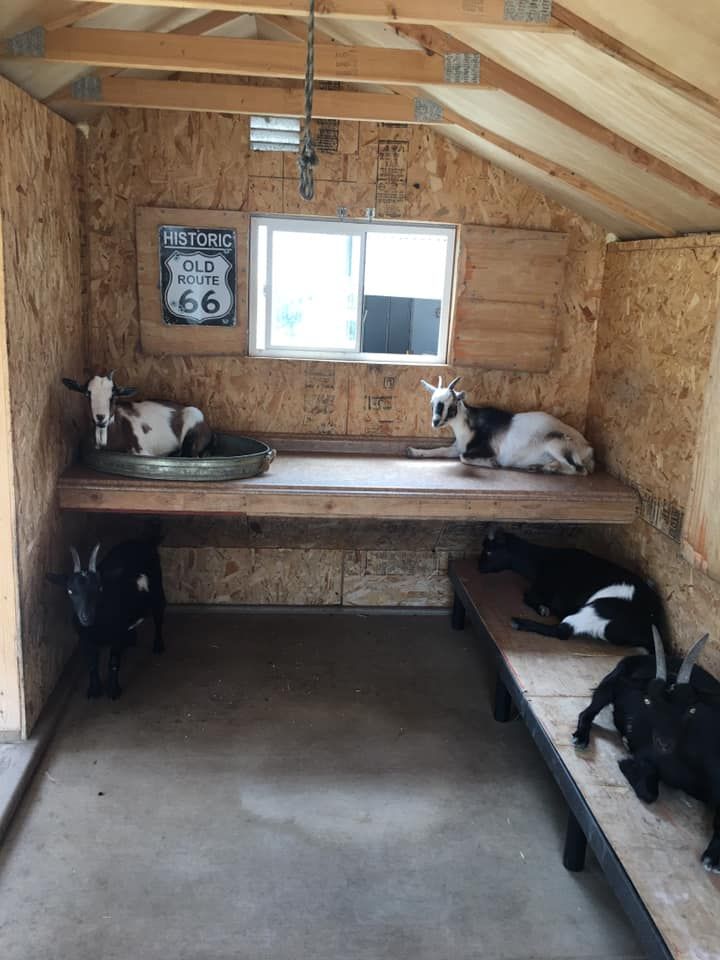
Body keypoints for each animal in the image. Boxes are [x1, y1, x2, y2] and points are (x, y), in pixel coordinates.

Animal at [47, 536, 167, 700]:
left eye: (99, 588)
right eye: (70, 591)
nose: (86, 617)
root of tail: (141, 541)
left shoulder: (116, 634)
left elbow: (113, 662)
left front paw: (113, 690)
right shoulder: (85, 638)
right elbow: (92, 663)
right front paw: (94, 690)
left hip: (157, 590)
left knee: (159, 614)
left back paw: (158, 645)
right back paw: (130, 640)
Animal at [408, 378, 592, 476]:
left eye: (451, 404)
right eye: (432, 403)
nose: (435, 421)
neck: (470, 425)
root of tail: (588, 447)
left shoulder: (484, 450)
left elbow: (464, 457)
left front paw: (493, 463)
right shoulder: (457, 447)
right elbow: (440, 449)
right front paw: (414, 451)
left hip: (556, 444)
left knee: (579, 470)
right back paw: (539, 467)